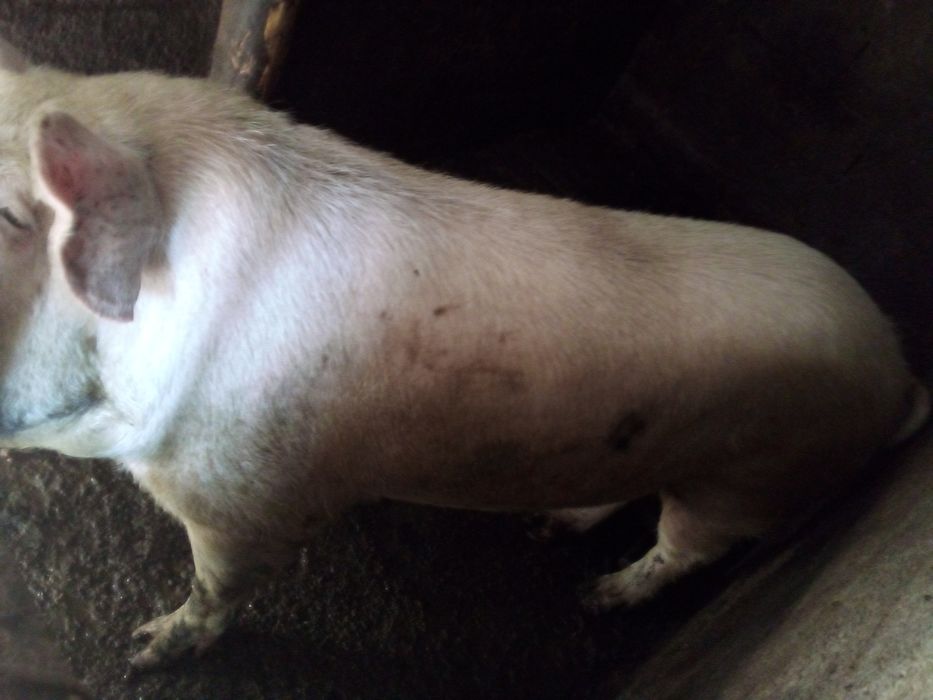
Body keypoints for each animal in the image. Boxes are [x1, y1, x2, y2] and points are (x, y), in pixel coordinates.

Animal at [0, 39, 927, 669]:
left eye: (12, 222)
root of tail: (895, 370)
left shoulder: (242, 498)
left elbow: (217, 588)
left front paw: (145, 650)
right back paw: (546, 530)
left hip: (750, 483)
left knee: (681, 549)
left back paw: (595, 598)